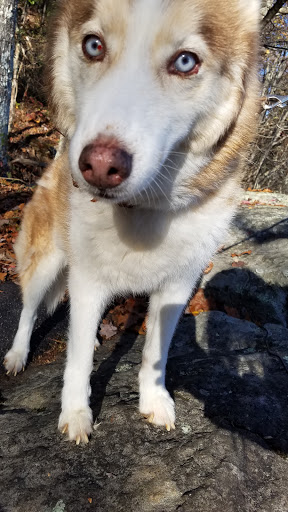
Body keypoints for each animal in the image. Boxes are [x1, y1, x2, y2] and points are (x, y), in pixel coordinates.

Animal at [3, 0, 260, 444]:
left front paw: (155, 402)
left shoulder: (176, 287)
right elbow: (77, 361)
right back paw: (18, 354)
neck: (143, 211)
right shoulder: (88, 280)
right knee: (29, 310)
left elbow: (155, 352)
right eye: (93, 45)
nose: (99, 166)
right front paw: (76, 414)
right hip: (47, 263)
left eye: (185, 61)